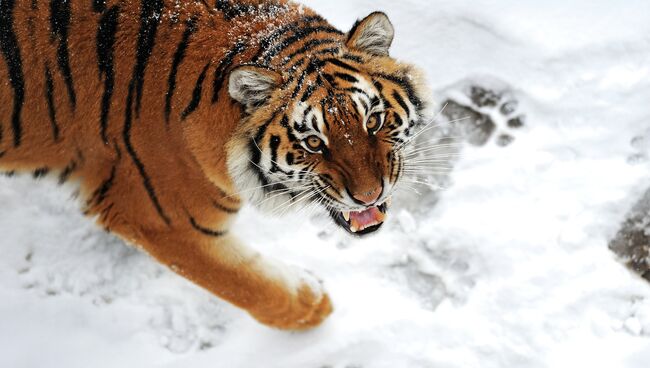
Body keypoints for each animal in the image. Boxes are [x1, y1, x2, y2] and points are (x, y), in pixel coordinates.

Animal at [0, 0, 430, 330]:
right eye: (313, 142)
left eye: (372, 120)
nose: (369, 195)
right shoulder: (160, 217)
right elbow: (245, 282)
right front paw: (314, 306)